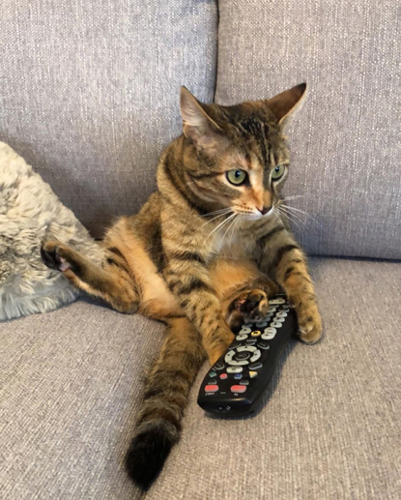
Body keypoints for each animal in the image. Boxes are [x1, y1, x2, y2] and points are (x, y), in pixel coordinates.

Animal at [41, 84, 322, 490]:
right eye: (237, 175)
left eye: (278, 171)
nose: (266, 205)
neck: (222, 216)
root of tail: (172, 315)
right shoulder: (182, 260)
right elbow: (205, 311)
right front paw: (223, 351)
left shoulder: (274, 234)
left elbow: (296, 268)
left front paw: (309, 314)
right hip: (122, 243)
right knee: (126, 298)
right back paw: (62, 256)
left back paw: (246, 305)